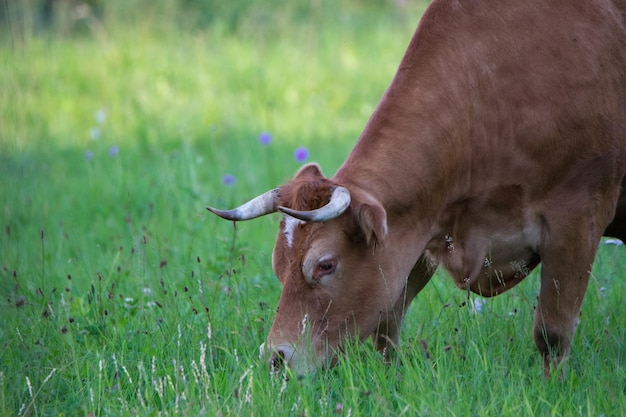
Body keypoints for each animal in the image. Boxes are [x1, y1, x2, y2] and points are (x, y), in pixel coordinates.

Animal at [206, 0, 624, 376]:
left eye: (325, 265)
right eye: (278, 265)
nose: (276, 359)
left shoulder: (577, 215)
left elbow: (552, 333)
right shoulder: (418, 229)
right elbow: (386, 329)